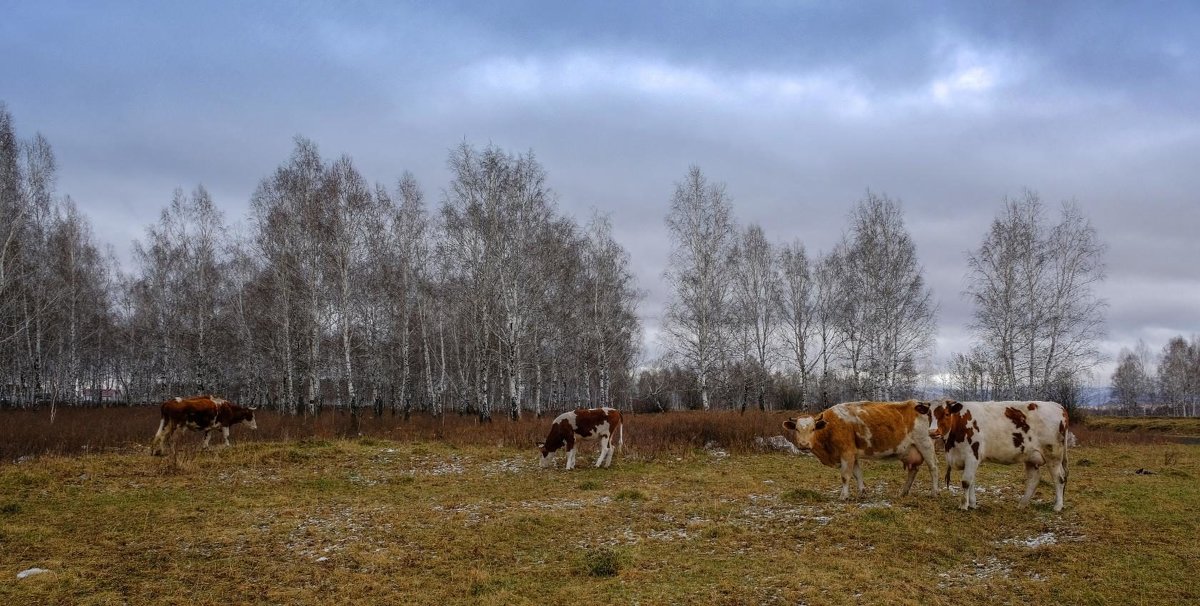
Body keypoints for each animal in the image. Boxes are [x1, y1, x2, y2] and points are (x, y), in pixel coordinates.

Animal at [782, 398, 940, 499]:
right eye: (796, 429)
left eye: (813, 429)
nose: (804, 445)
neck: (830, 427)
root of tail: (921, 404)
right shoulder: (853, 455)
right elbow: (857, 474)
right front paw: (862, 492)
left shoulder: (846, 453)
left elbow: (845, 476)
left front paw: (843, 496)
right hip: (910, 450)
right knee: (913, 471)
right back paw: (903, 493)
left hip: (924, 443)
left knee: (933, 467)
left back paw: (934, 492)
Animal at [926, 400, 1070, 511]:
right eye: (929, 414)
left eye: (946, 413)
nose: (932, 432)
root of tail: (1057, 405)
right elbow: (972, 481)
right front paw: (972, 504)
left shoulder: (972, 456)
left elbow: (966, 481)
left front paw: (963, 505)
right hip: (1031, 457)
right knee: (1033, 480)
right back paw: (1022, 504)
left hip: (1053, 455)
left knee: (1059, 478)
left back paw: (1058, 506)